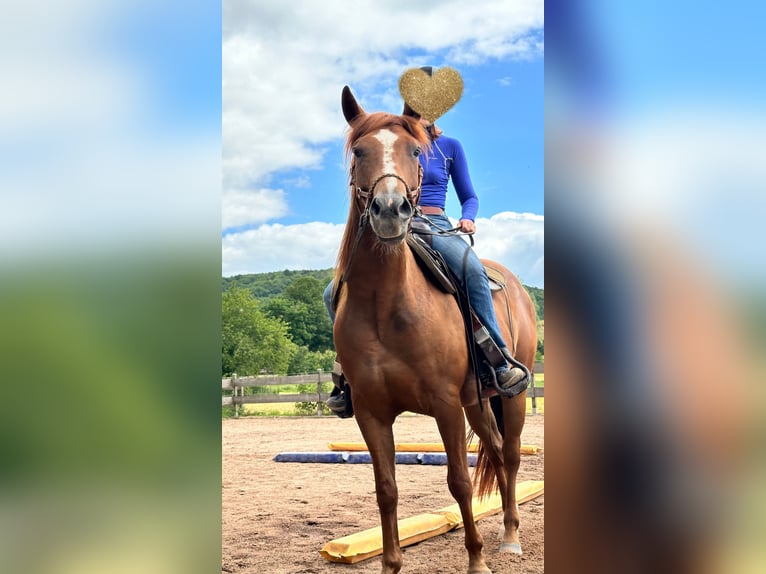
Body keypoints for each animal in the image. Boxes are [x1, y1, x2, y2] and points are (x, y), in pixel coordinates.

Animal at [331, 85, 538, 574]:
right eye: (359, 151)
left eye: (414, 151)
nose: (391, 210)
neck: (386, 303)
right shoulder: (370, 412)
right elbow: (386, 489)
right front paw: (390, 564)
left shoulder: (444, 404)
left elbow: (458, 480)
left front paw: (476, 560)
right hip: (477, 402)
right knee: (495, 450)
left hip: (511, 396)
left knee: (511, 454)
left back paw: (510, 536)